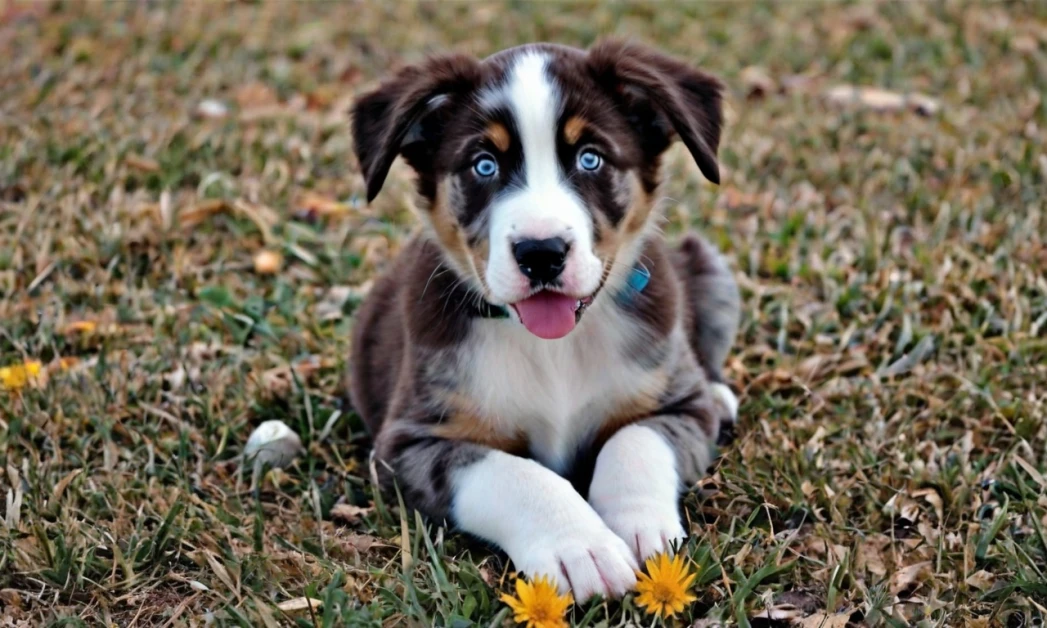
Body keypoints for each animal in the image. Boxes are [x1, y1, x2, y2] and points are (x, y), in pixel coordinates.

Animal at [347, 41, 741, 602]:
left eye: (590, 158)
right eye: (484, 165)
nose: (541, 253)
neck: (556, 345)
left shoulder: (682, 406)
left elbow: (633, 441)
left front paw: (634, 524)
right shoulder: (409, 444)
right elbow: (515, 475)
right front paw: (580, 546)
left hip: (708, 265)